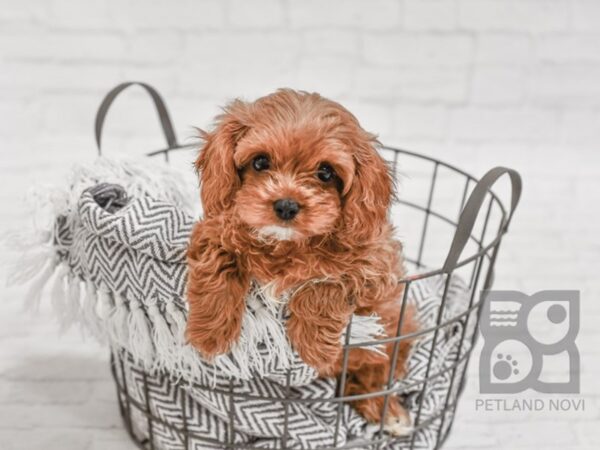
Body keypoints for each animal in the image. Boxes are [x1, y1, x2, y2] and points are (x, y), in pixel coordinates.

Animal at [186, 89, 418, 436]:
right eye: (260, 161)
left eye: (325, 173)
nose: (286, 205)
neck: (286, 244)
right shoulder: (215, 229)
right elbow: (219, 262)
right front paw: (210, 334)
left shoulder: (374, 265)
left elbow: (327, 279)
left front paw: (314, 346)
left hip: (392, 326)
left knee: (376, 370)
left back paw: (387, 410)